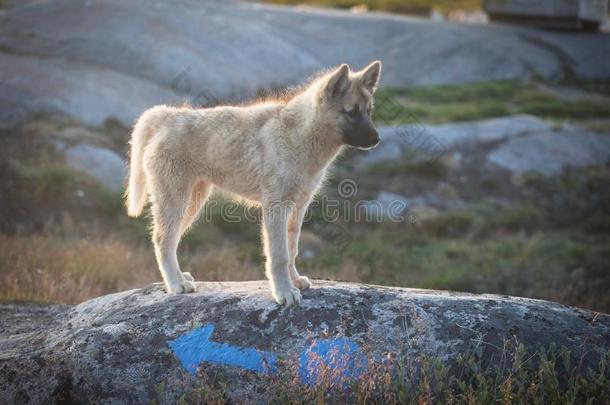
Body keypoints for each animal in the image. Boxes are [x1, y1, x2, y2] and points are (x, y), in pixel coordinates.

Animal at [124, 60, 380, 304]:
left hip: (191, 203)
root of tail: (168, 116)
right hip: (175, 200)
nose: (377, 139)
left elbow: (292, 249)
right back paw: (176, 284)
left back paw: (180, 277)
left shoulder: (298, 208)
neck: (299, 135)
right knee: (162, 240)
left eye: (368, 111)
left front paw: (294, 281)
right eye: (351, 112)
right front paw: (284, 292)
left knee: (171, 240)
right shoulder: (276, 207)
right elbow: (279, 256)